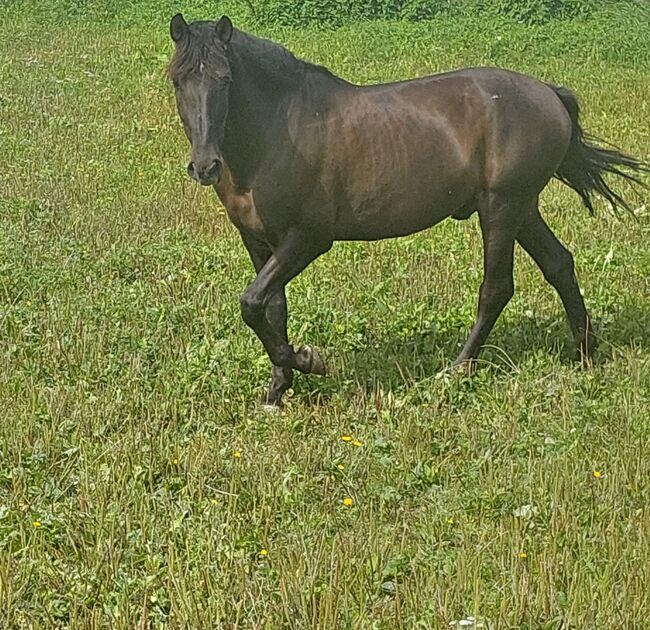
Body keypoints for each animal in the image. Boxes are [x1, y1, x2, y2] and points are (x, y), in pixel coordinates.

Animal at [166, 16, 644, 410]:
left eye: (225, 79)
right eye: (177, 81)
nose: (205, 166)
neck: (277, 134)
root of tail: (549, 94)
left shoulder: (308, 239)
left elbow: (251, 303)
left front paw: (308, 360)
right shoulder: (257, 239)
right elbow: (272, 307)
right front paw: (278, 389)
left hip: (502, 207)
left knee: (496, 288)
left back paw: (457, 369)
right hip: (522, 208)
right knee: (559, 265)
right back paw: (586, 352)